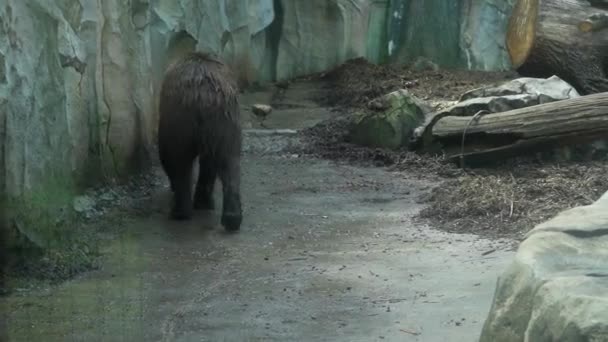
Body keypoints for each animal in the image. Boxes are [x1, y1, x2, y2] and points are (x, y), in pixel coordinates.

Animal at [158, 51, 243, 232]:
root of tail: (202, 94)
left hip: (180, 117)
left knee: (178, 160)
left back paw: (180, 211)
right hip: (223, 120)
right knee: (229, 161)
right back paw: (232, 218)